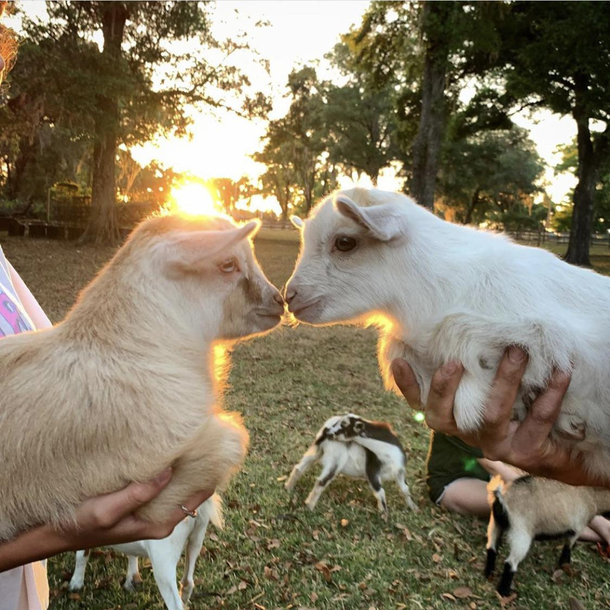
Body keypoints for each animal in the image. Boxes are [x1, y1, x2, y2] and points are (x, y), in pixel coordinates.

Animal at [69, 494, 221, 608]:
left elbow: (81, 555)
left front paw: (75, 584)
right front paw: (132, 579)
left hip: (163, 560)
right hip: (198, 537)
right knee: (188, 581)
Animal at [282, 410, 416, 516]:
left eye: (343, 425)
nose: (328, 431)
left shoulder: (399, 471)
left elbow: (405, 489)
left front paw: (414, 508)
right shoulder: (372, 471)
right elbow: (380, 492)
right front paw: (384, 515)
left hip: (317, 451)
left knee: (299, 468)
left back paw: (288, 488)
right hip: (336, 459)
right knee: (322, 481)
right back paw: (309, 505)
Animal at [286, 189, 610, 480]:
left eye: (344, 242)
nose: (290, 296)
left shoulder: (556, 334)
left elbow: (456, 327)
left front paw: (473, 399)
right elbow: (395, 345)